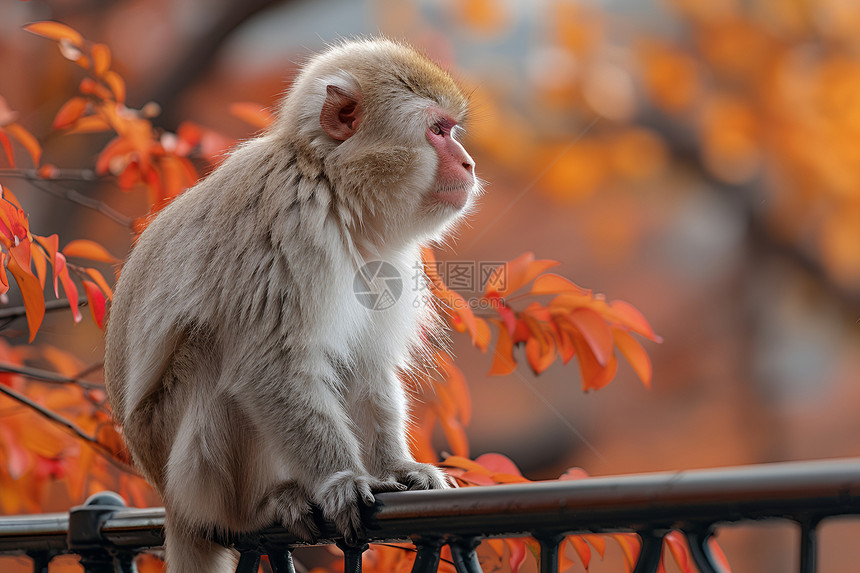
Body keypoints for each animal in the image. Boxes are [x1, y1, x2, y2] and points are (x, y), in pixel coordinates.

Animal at [104, 38, 480, 568]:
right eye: (438, 131)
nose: (468, 164)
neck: (332, 185)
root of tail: (169, 498)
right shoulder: (289, 226)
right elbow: (271, 366)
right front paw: (342, 480)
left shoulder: (386, 258)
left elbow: (364, 366)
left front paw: (396, 468)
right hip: (193, 477)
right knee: (214, 355)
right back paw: (262, 505)